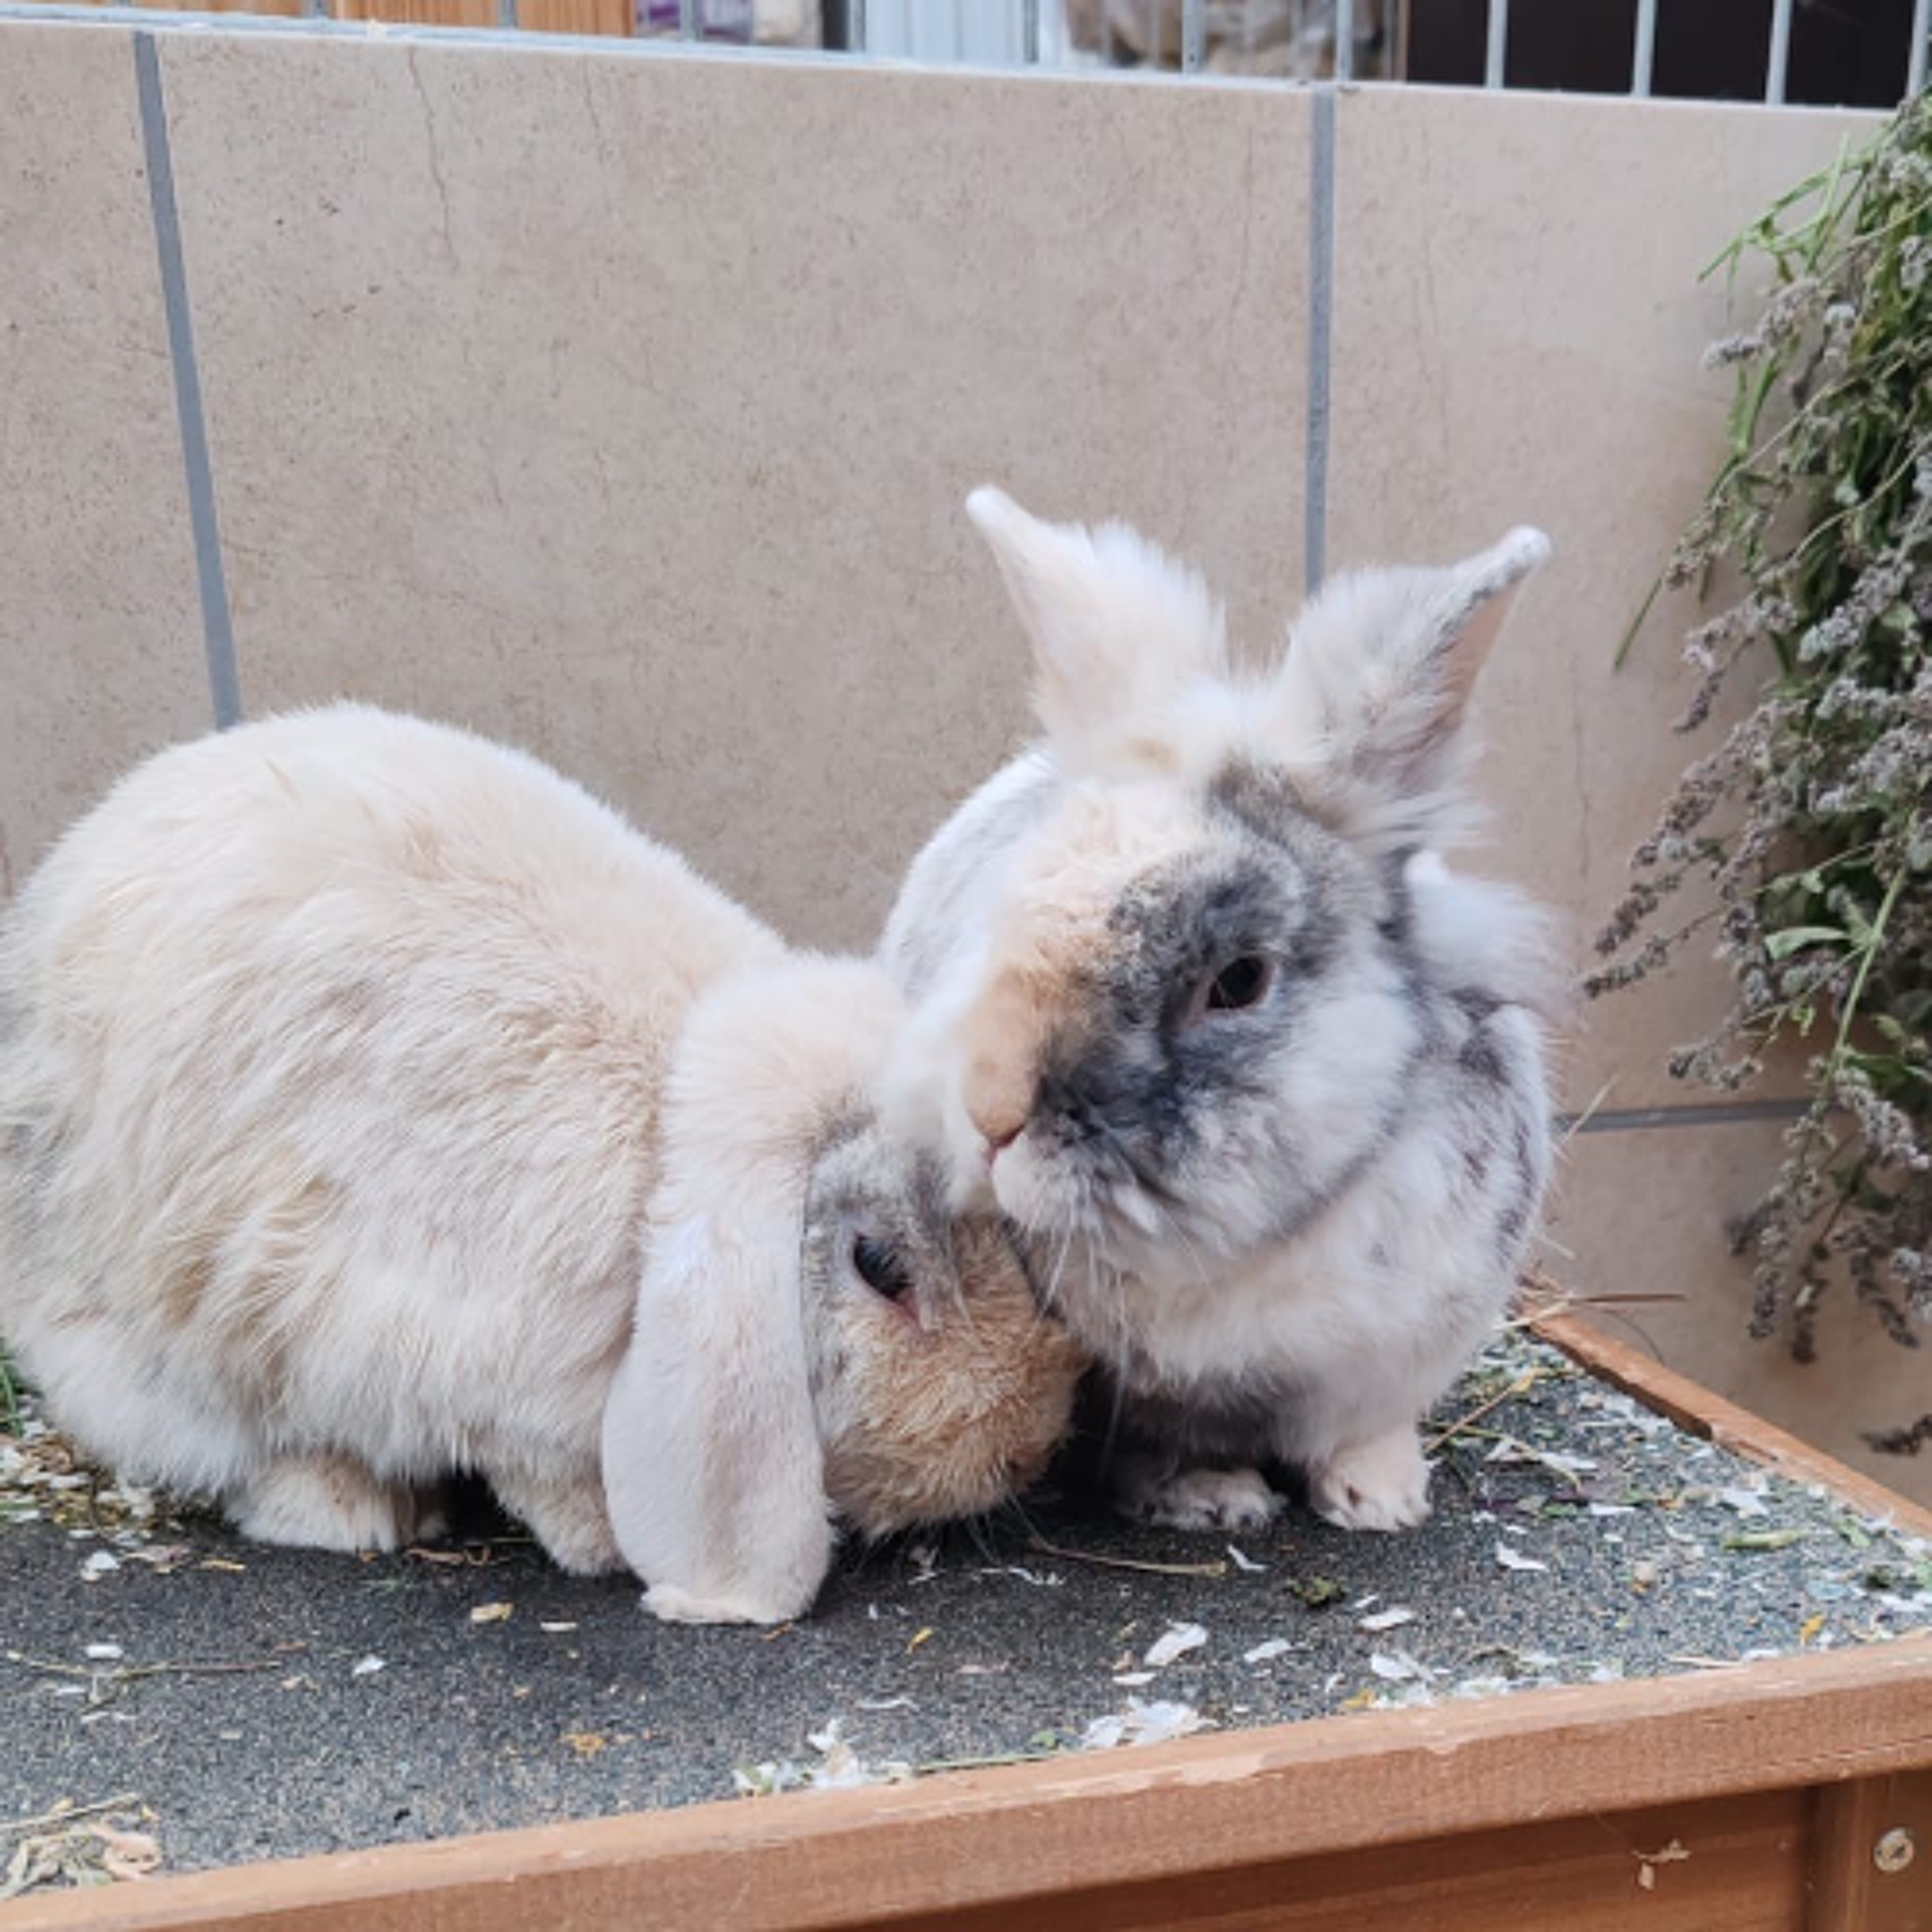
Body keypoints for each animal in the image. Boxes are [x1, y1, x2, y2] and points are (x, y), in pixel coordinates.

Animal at [0, 705, 1084, 1625]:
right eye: (880, 1269)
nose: (1026, 1453)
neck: (665, 1156)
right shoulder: (466, 1362)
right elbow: (539, 1471)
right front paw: (603, 1543)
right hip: (154, 1352)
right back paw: (355, 1512)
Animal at [880, 489, 1557, 1537]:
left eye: (1238, 979)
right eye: (1007, 918)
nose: (989, 1117)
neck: (1246, 1245)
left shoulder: (1405, 1350)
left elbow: (1366, 1427)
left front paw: (1382, 1499)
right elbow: (1167, 1444)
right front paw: (1215, 1499)